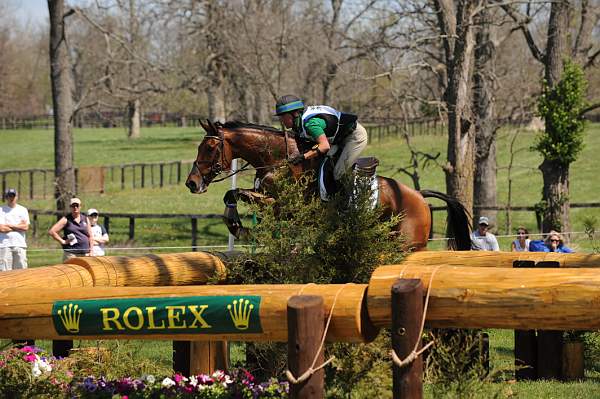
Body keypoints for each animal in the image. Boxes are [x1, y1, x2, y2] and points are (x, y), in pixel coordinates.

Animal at [185, 119, 472, 250]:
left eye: (209, 148)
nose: (191, 183)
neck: (280, 158)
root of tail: (419, 196)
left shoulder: (282, 204)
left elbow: (240, 195)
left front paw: (238, 226)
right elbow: (232, 193)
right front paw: (236, 224)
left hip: (408, 243)